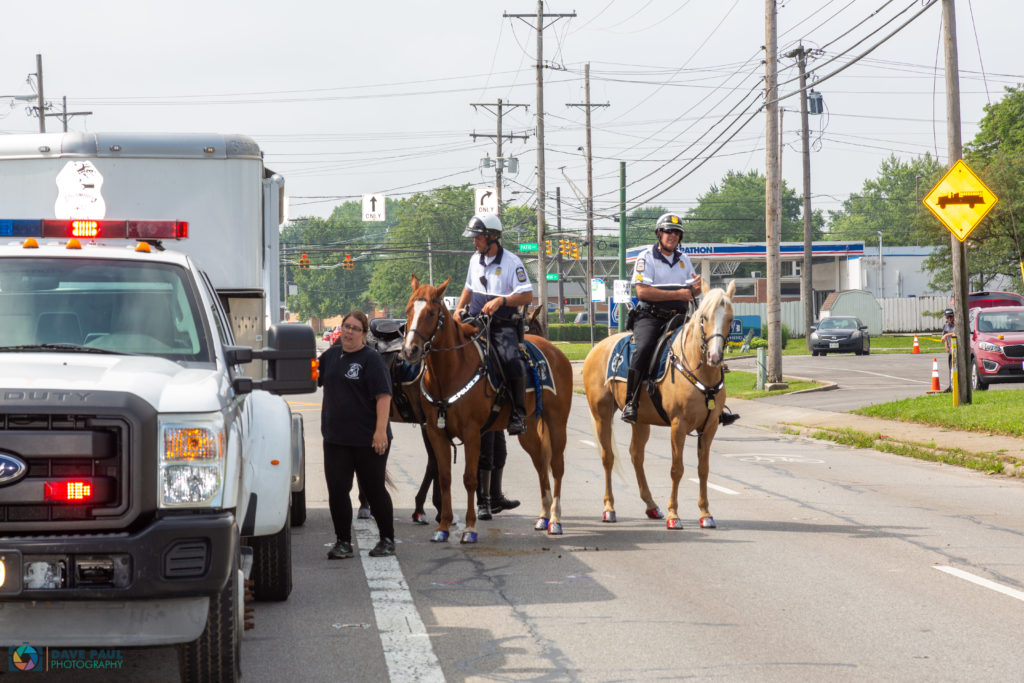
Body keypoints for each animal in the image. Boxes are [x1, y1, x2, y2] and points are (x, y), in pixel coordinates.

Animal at [399, 274, 577, 540]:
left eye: (431, 313)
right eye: (408, 310)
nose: (410, 350)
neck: (450, 372)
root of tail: (555, 352)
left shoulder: (473, 434)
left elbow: (470, 479)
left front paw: (470, 528)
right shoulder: (435, 431)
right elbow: (444, 477)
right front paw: (443, 527)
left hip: (557, 424)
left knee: (556, 467)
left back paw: (555, 520)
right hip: (528, 429)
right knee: (540, 464)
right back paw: (543, 516)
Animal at [581, 280, 733, 532]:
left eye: (730, 317)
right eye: (704, 317)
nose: (714, 356)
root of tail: (597, 348)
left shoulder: (709, 427)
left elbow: (703, 470)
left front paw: (705, 514)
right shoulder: (678, 426)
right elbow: (677, 469)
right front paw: (674, 515)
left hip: (641, 420)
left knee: (636, 455)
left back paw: (651, 505)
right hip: (601, 414)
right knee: (608, 457)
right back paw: (609, 509)